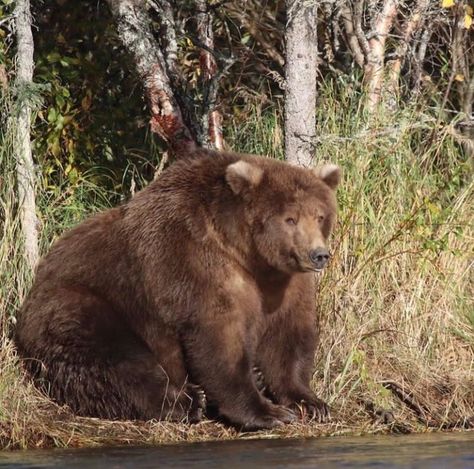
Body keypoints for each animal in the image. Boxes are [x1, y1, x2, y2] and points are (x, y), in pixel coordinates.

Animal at [14, 148, 340, 430]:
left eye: (320, 215)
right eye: (290, 218)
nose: (318, 255)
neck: (247, 254)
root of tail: (32, 290)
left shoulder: (283, 283)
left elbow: (288, 336)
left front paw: (310, 402)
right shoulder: (194, 263)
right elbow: (219, 339)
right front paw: (268, 412)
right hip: (83, 306)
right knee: (117, 361)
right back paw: (188, 402)